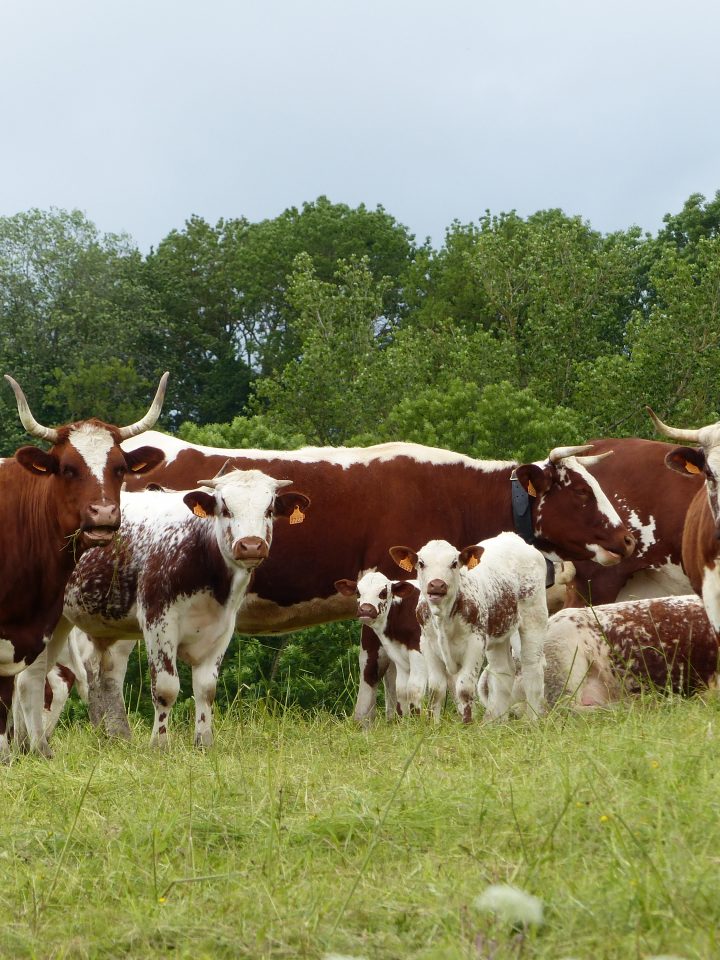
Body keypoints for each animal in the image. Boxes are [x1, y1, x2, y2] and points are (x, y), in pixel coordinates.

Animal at [16, 468, 310, 748]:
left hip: (61, 622)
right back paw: (34, 746)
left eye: (269, 510)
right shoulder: (159, 621)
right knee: (30, 680)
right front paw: (160, 744)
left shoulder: (221, 629)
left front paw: (204, 742)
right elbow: (166, 688)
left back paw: (23, 745)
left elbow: (206, 689)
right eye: (225, 509)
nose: (251, 545)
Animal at [334, 572, 424, 716]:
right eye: (358, 592)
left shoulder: (419, 652)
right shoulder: (399, 657)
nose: (366, 610)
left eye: (383, 592)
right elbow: (401, 692)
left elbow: (415, 690)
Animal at [390, 528, 548, 724]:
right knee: (503, 671)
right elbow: (436, 689)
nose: (437, 585)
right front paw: (434, 724)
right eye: (421, 563)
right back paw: (495, 722)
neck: (443, 618)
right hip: (498, 633)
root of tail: (512, 537)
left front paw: (466, 724)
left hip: (534, 617)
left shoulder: (475, 644)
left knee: (532, 667)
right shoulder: (427, 644)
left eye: (454, 563)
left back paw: (533, 720)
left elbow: (464, 689)